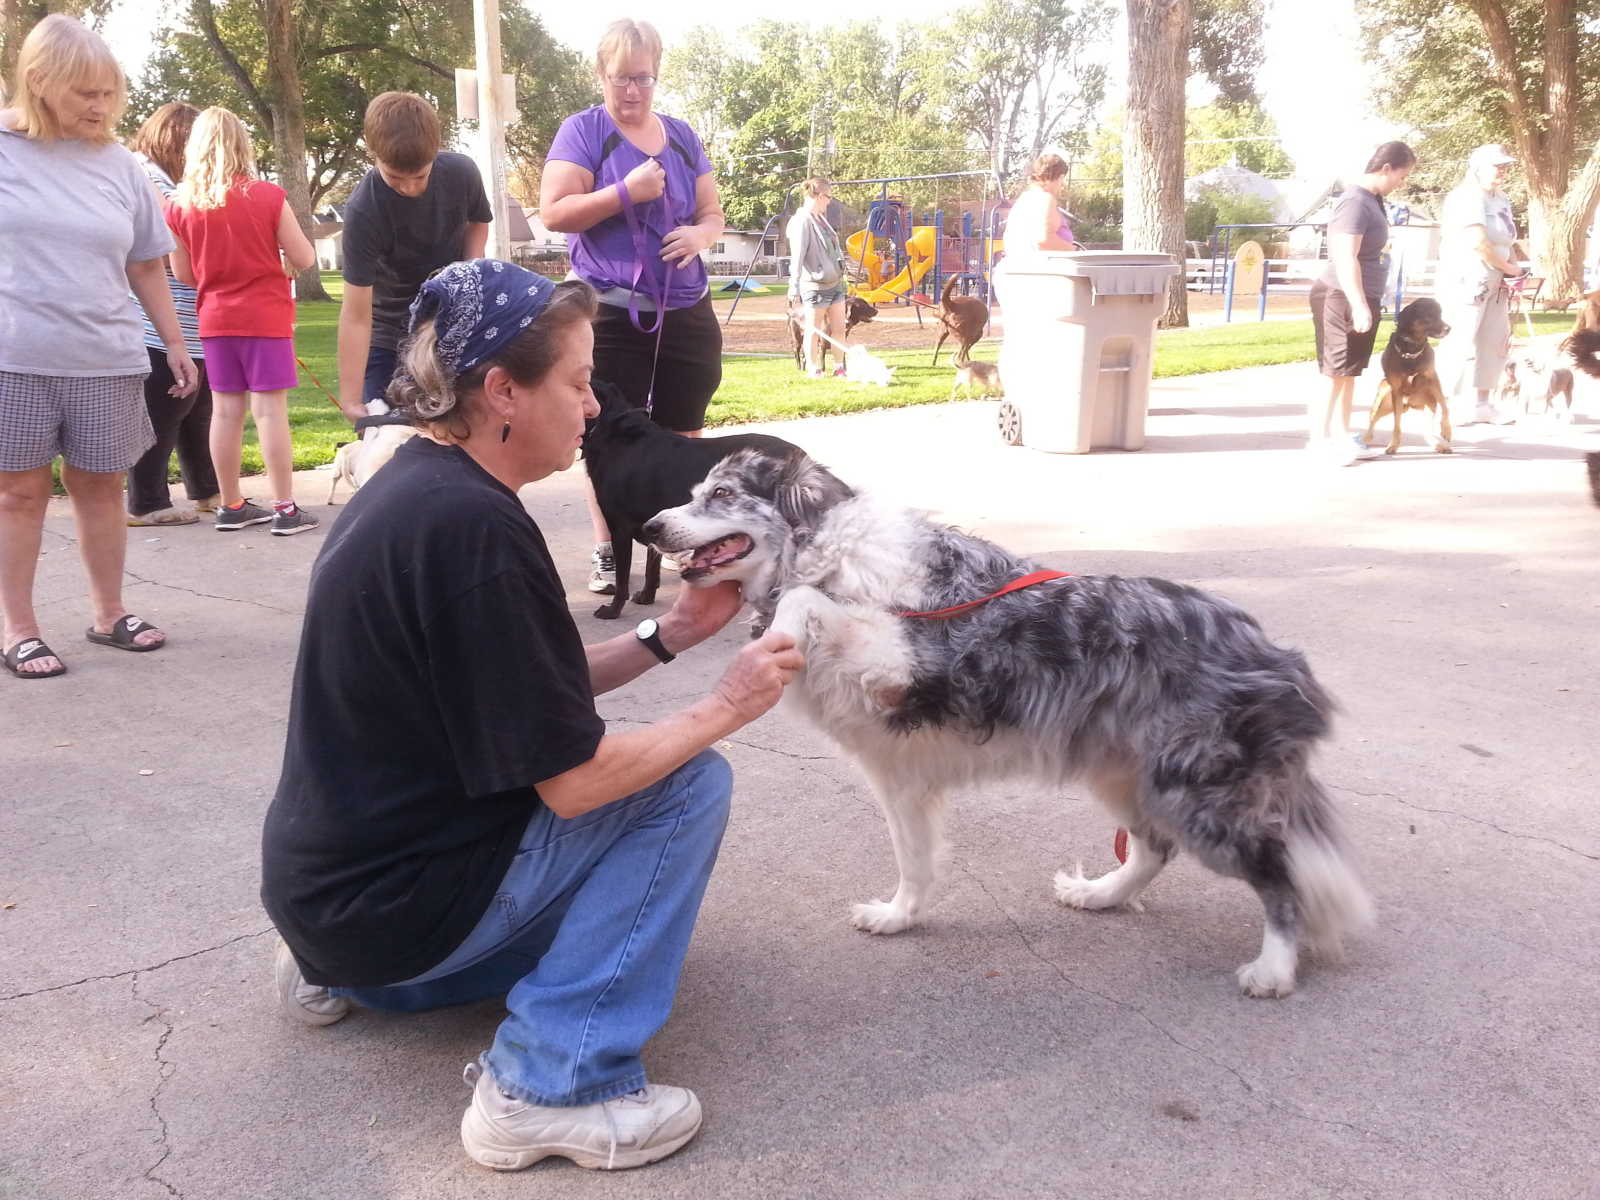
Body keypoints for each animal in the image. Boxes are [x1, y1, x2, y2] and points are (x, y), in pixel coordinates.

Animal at [580, 381, 805, 620]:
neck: (610, 432)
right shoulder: (653, 522)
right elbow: (652, 567)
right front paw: (646, 596)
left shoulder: (619, 527)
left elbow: (623, 579)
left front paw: (613, 610)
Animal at [644, 449, 1373, 997]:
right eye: (693, 494)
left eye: (722, 494)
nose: (649, 527)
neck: (828, 551)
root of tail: (1272, 651)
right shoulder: (899, 774)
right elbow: (915, 861)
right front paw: (899, 918)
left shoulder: (910, 662)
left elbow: (804, 600)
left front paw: (784, 630)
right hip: (1125, 773)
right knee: (1152, 849)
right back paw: (1100, 895)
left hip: (1199, 790)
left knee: (1277, 870)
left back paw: (1273, 969)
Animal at [1365, 297, 1452, 455]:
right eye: (1429, 315)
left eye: (1440, 314)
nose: (1449, 328)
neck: (1412, 349)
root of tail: (1409, 405)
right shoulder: (1396, 390)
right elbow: (1396, 425)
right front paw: (1393, 444)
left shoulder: (1433, 379)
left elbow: (1444, 405)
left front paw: (1447, 430)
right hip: (1384, 394)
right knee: (1373, 418)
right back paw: (1366, 438)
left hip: (1429, 403)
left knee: (1427, 429)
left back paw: (1438, 445)